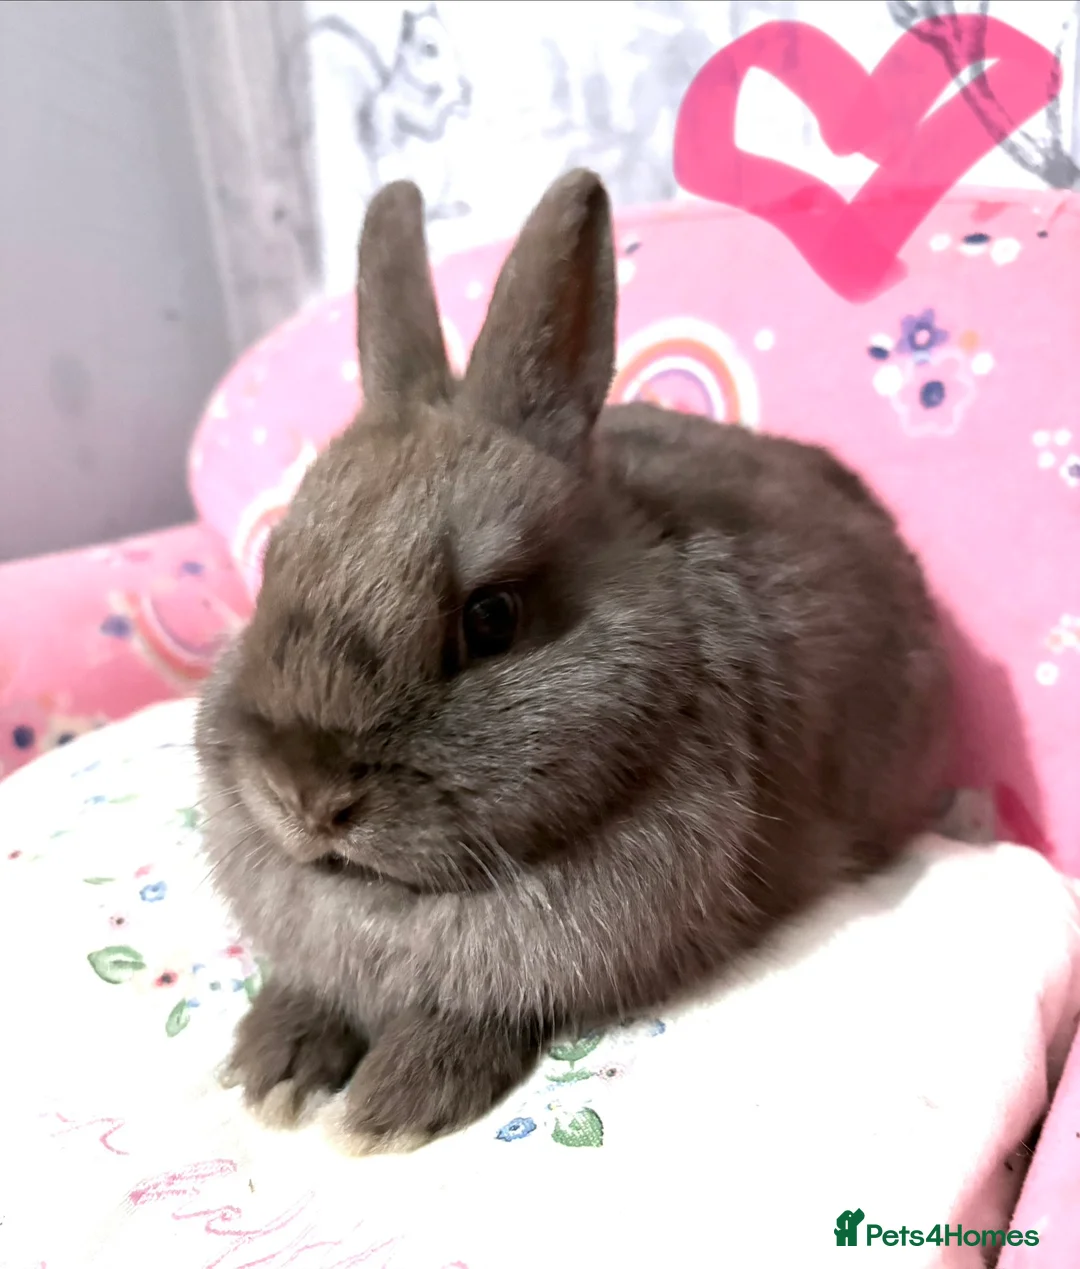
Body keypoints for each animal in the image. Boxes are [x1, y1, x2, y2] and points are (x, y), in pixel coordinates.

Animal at [195, 168, 953, 1153]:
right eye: (272, 565)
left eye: (491, 617)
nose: (305, 798)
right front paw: (273, 1069)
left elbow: (473, 1018)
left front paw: (387, 1106)